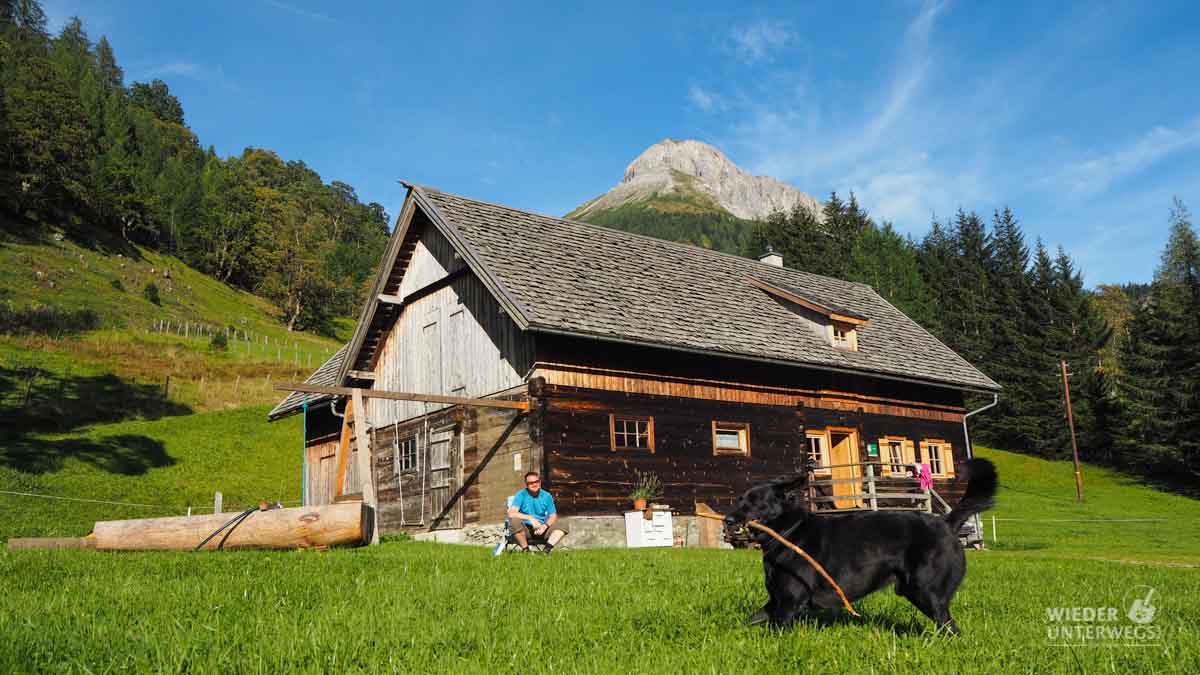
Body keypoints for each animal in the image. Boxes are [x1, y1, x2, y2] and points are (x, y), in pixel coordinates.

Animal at [724, 454, 998, 634]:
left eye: (755, 501)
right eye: (739, 499)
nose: (727, 520)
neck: (789, 532)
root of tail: (946, 523)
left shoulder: (789, 602)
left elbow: (774, 631)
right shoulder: (775, 601)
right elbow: (750, 620)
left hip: (927, 591)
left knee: (950, 627)